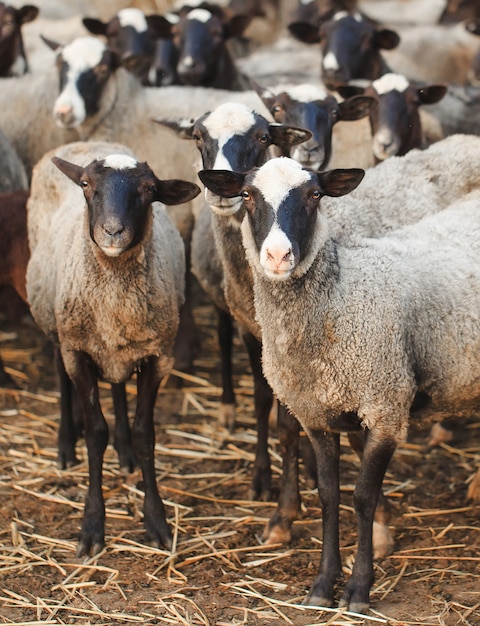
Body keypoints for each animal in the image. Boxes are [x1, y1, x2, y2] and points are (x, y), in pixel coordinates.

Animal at [24, 140, 201, 552]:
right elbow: (95, 434)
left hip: (118, 348)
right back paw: (65, 445)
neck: (114, 300)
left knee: (118, 387)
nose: (112, 231)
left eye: (149, 190)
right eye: (86, 185)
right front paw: (92, 526)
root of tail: (86, 142)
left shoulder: (158, 355)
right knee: (59, 373)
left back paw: (124, 453)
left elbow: (145, 435)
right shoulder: (78, 353)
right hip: (58, 326)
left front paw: (157, 522)